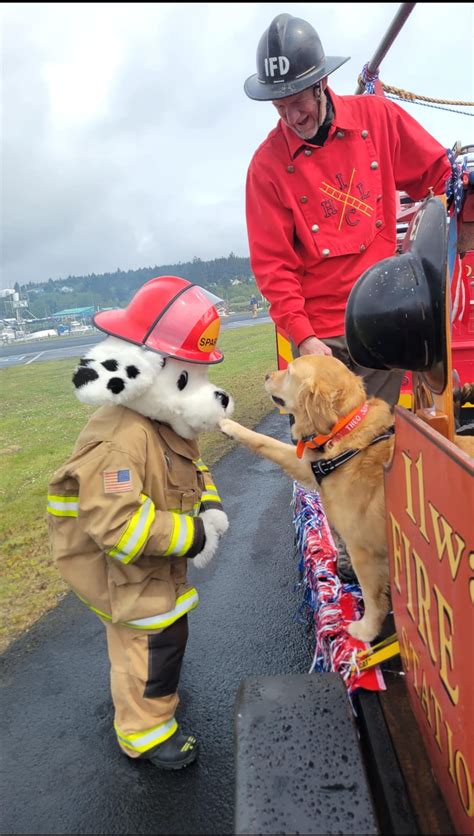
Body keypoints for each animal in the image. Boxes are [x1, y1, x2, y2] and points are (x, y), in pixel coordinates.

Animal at [220, 352, 394, 640]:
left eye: (290, 372)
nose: (266, 375)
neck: (344, 432)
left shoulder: (364, 551)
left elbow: (373, 597)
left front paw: (366, 630)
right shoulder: (307, 464)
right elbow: (266, 442)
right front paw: (228, 425)